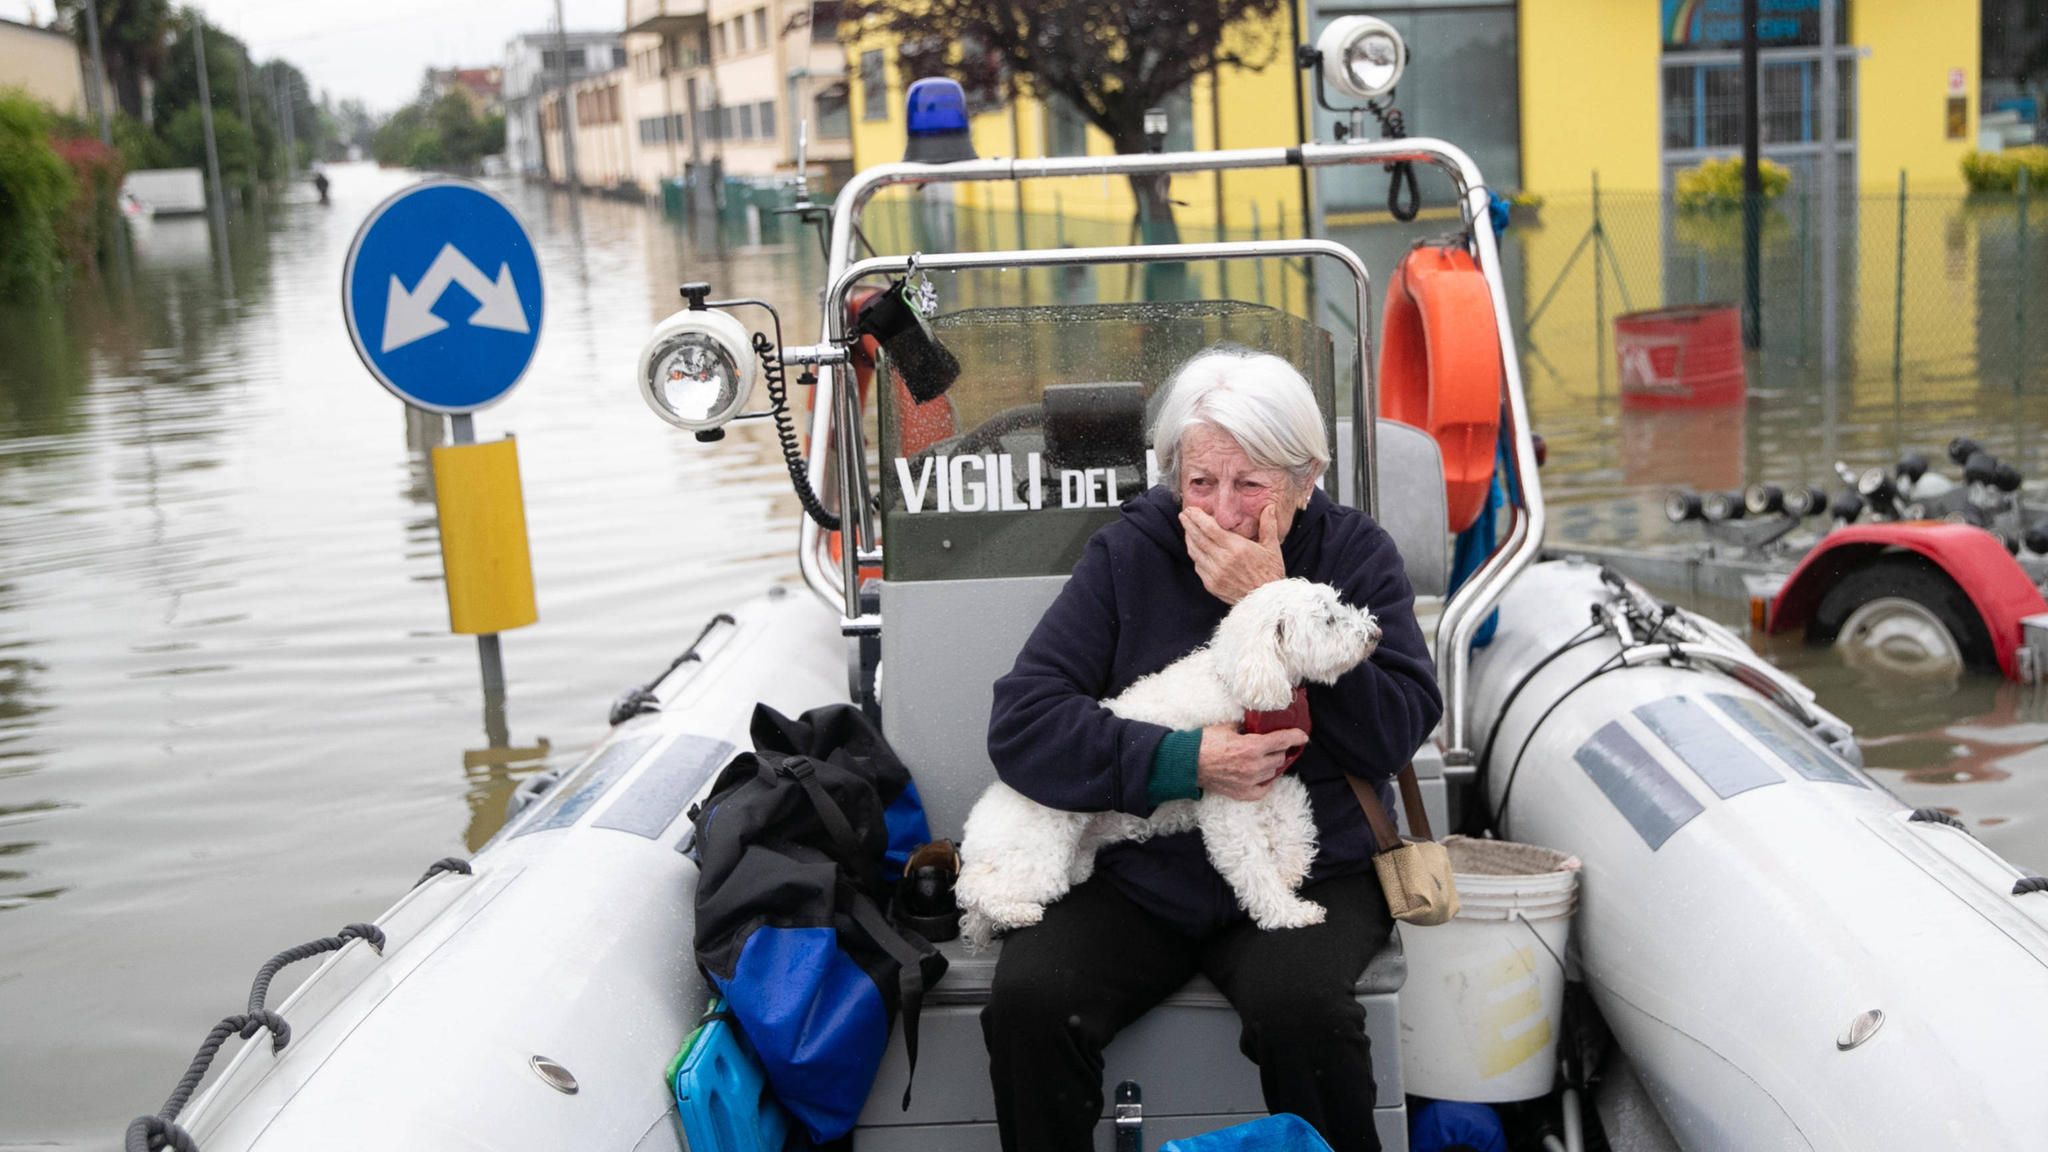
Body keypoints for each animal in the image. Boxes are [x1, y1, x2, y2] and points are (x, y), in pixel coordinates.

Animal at [954, 578, 1376, 947]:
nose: (1374, 634)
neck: (1236, 681)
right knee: (973, 889)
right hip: (1037, 856)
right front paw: (1288, 913)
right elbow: (1252, 865)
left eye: (1338, 605)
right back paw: (1017, 913)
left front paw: (1290, 869)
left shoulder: (1272, 777)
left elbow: (1295, 821)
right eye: (1328, 619)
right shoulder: (1230, 802)